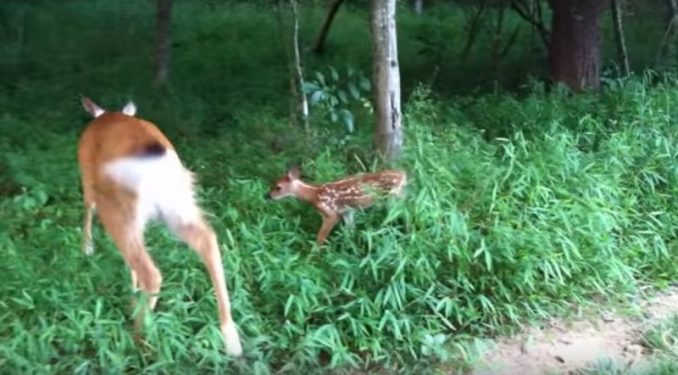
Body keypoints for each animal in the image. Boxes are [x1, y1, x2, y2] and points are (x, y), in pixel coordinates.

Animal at [78, 96, 243, 356]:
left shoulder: (87, 177)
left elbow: (87, 207)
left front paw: (87, 248)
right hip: (179, 204)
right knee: (207, 239)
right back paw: (231, 338)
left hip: (119, 208)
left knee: (150, 271)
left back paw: (138, 337)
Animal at [266, 167, 406, 244]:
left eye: (278, 187)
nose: (267, 196)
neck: (314, 195)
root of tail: (403, 174)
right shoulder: (347, 211)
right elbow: (350, 230)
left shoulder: (331, 213)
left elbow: (320, 238)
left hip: (393, 198)